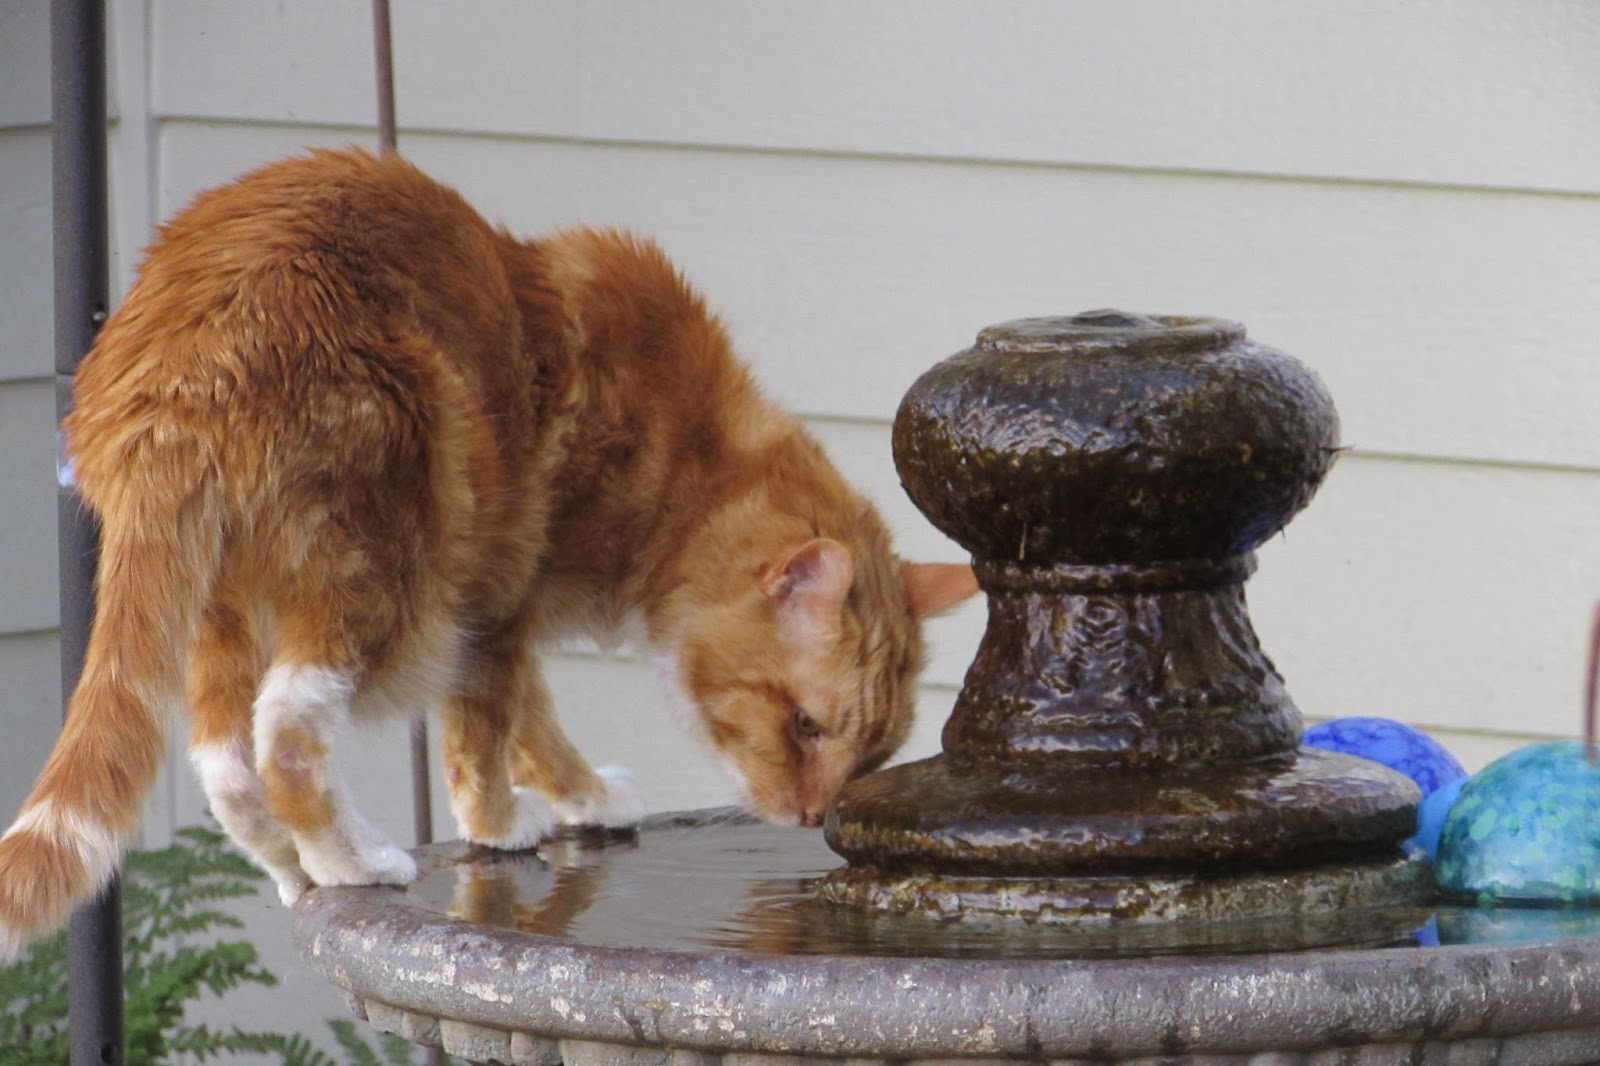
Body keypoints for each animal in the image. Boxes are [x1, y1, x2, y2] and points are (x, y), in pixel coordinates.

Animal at [0, 148, 977, 962]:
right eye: (806, 727)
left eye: (870, 759)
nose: (811, 816)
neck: (690, 448)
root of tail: (173, 373)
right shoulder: (498, 599)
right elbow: (491, 735)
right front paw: (507, 824)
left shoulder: (501, 613)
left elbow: (532, 724)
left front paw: (582, 800)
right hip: (382, 567)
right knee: (286, 733)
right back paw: (355, 862)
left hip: (222, 606)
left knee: (227, 768)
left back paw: (294, 869)